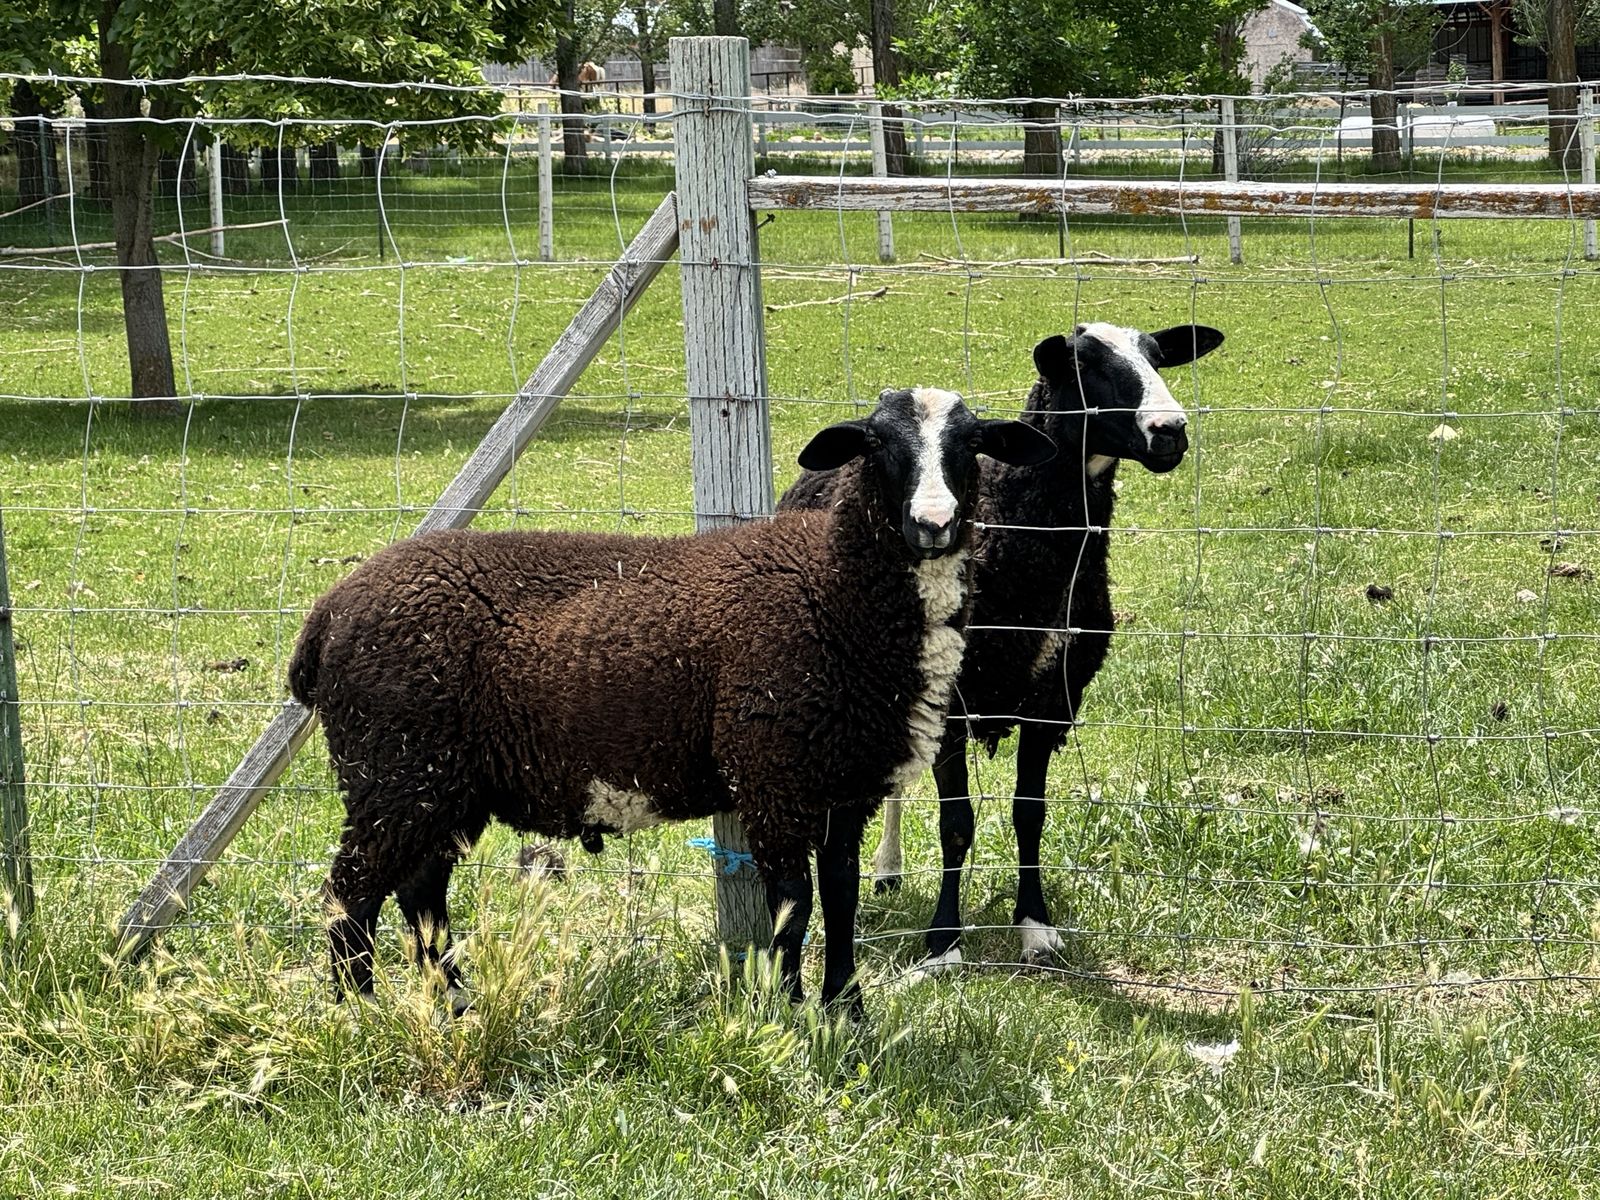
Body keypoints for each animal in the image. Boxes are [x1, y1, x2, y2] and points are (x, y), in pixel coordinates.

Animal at [287, 387, 1055, 1013]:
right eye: (877, 444)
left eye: (970, 445)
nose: (934, 523)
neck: (835, 589)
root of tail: (326, 616)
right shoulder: (773, 776)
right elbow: (794, 906)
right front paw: (790, 1016)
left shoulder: (848, 782)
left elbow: (841, 897)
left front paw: (847, 1012)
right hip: (393, 770)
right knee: (351, 894)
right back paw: (360, 1016)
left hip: (440, 785)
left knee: (420, 894)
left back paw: (454, 1005)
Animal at [780, 323, 1224, 967]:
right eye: (1080, 365)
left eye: (1159, 356)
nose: (1170, 430)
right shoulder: (951, 704)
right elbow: (956, 824)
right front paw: (943, 941)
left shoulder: (1055, 698)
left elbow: (1029, 815)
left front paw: (1035, 925)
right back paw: (880, 871)